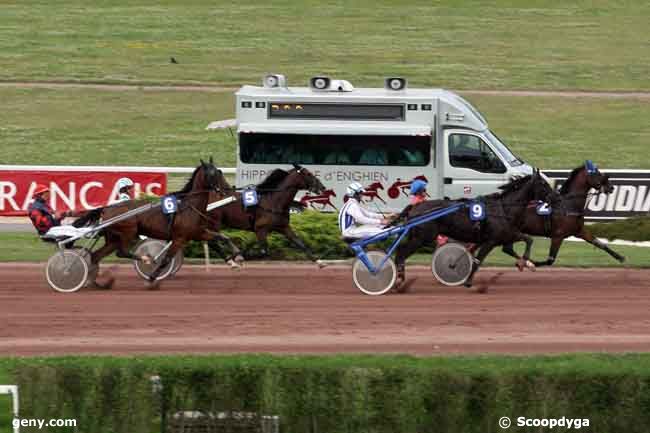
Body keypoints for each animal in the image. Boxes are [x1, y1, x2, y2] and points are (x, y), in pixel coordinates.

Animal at [81, 158, 233, 286]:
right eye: (212, 174)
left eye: (219, 172)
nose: (227, 189)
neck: (190, 206)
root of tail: (107, 208)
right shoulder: (179, 238)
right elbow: (166, 260)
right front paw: (151, 278)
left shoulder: (196, 233)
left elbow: (221, 239)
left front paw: (234, 259)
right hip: (129, 232)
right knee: (121, 252)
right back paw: (145, 259)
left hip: (114, 238)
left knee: (96, 256)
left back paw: (95, 281)